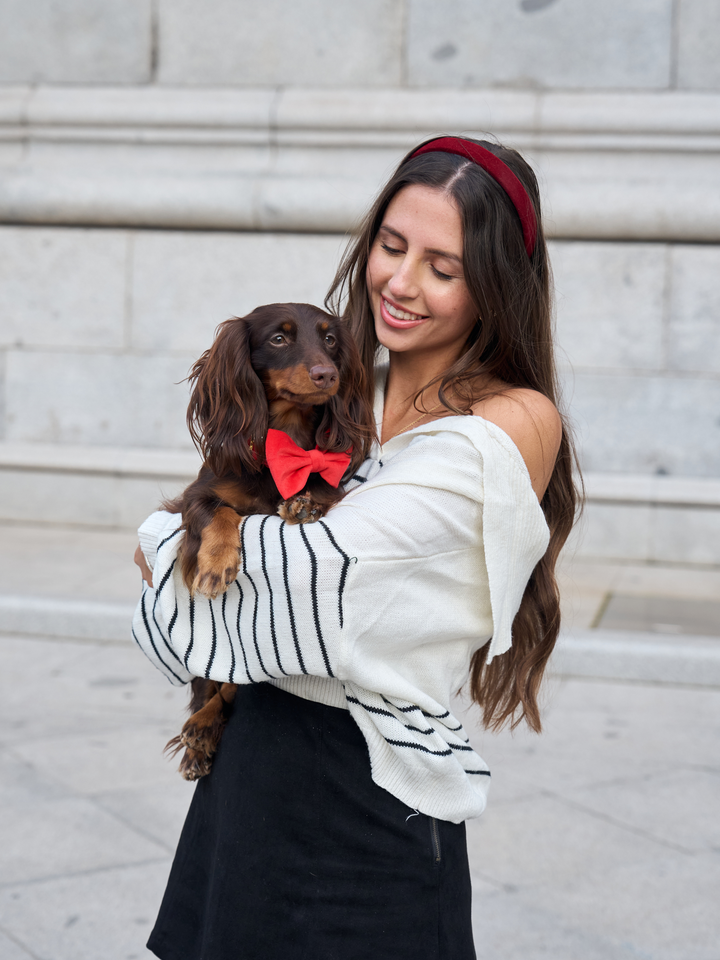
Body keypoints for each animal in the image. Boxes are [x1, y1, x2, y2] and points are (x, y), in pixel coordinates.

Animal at [162, 302, 372, 780]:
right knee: (215, 687)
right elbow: (220, 512)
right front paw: (216, 565)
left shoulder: (330, 481)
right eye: (279, 338)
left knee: (232, 690)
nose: (327, 374)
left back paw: (203, 731)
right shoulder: (197, 496)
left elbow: (323, 489)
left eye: (330, 339)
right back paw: (199, 735)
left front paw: (303, 503)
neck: (285, 441)